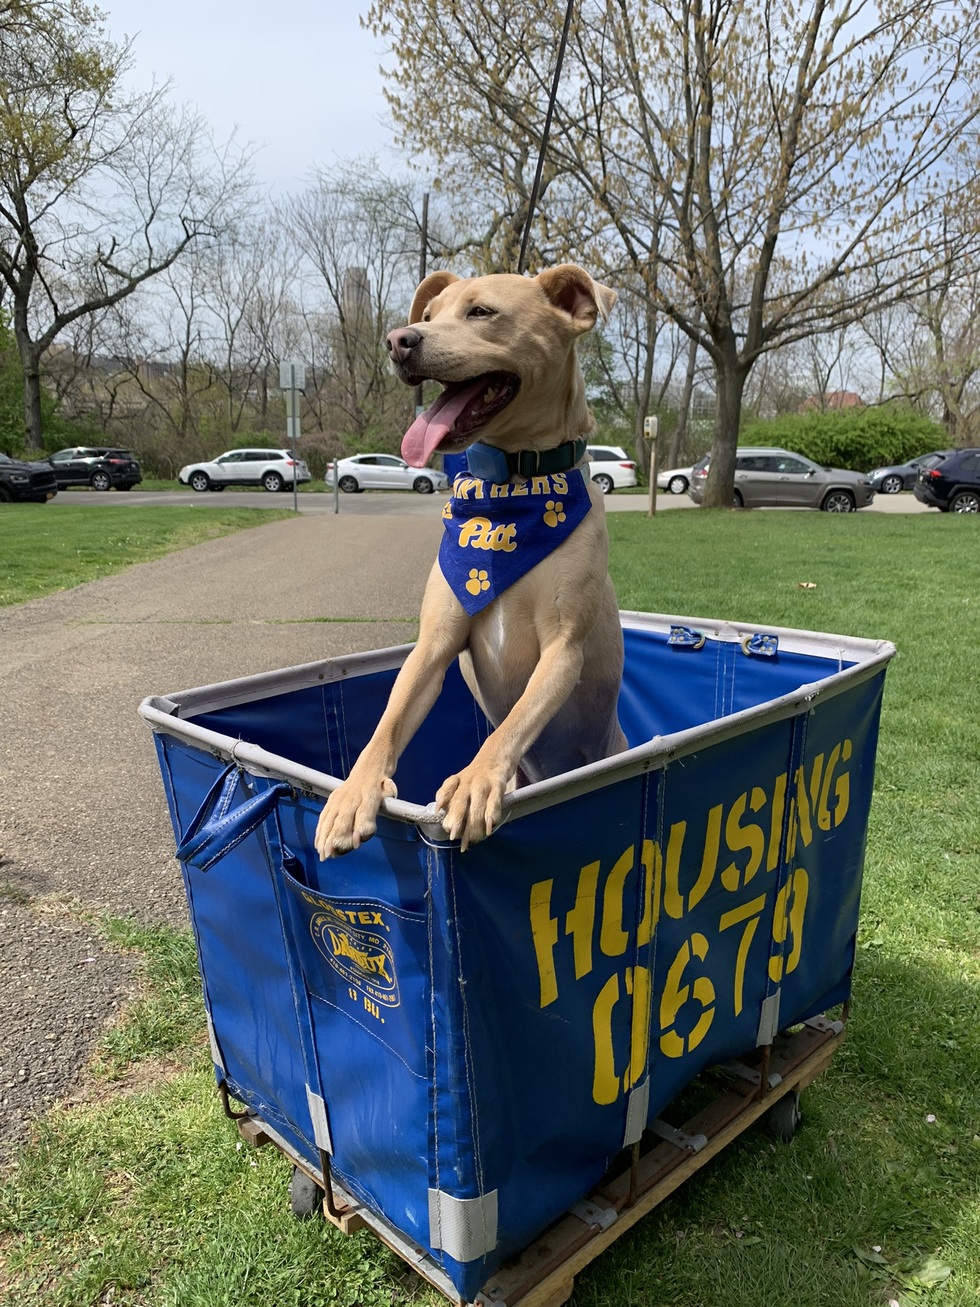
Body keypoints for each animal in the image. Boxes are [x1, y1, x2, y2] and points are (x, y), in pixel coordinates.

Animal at [314, 264, 628, 858]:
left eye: (481, 312)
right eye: (429, 315)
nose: (398, 341)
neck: (512, 486)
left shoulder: (563, 649)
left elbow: (515, 721)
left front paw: (475, 780)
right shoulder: (435, 642)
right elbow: (389, 721)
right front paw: (353, 792)